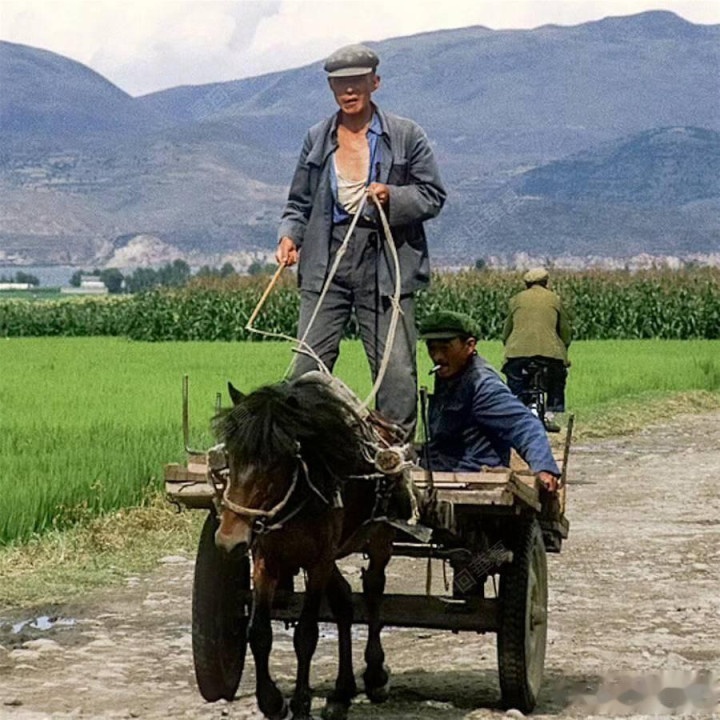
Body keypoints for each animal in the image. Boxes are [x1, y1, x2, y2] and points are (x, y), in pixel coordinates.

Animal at [213, 375, 404, 720]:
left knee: (373, 588)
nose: (229, 540)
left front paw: (301, 702)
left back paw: (374, 675)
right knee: (344, 601)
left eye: (274, 461)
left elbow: (307, 633)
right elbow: (258, 632)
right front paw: (272, 701)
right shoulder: (266, 559)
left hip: (379, 536)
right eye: (231, 455)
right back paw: (341, 692)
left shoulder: (318, 562)